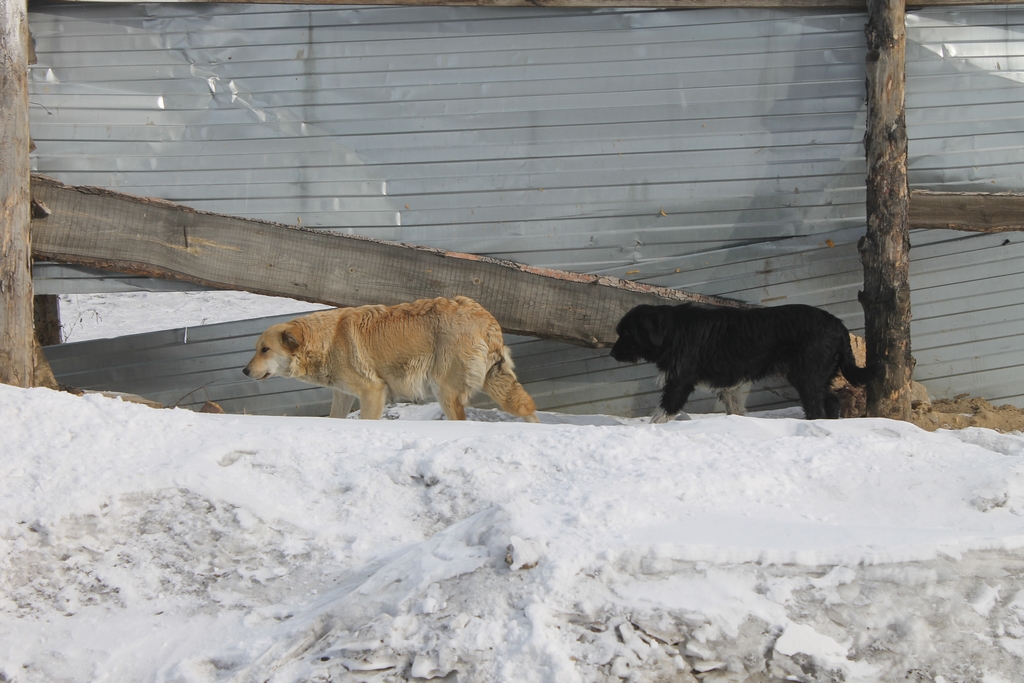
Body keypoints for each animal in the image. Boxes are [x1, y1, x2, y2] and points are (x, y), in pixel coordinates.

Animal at [242, 296, 540, 421]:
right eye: (256, 348)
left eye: (264, 350)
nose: (244, 371)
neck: (327, 340)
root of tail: (482, 315)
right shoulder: (344, 394)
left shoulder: (373, 392)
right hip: (494, 381)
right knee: (527, 408)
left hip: (444, 390)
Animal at [610, 305, 876, 421]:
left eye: (627, 333)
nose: (612, 354)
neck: (674, 330)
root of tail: (839, 325)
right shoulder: (728, 385)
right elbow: (735, 407)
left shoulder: (680, 381)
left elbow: (664, 411)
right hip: (817, 376)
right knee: (831, 400)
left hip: (806, 376)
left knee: (816, 408)